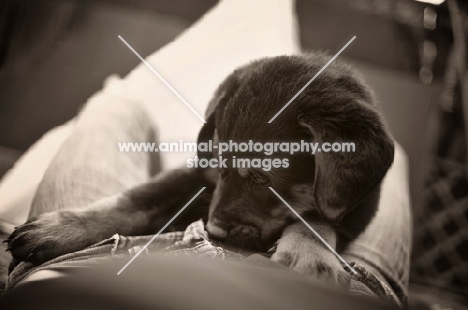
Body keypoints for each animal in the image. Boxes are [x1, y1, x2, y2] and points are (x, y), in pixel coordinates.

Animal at [5, 54, 394, 286]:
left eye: (262, 178)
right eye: (220, 167)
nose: (214, 231)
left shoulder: (354, 212)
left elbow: (316, 221)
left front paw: (307, 255)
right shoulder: (197, 173)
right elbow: (136, 198)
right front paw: (58, 227)